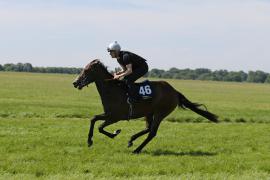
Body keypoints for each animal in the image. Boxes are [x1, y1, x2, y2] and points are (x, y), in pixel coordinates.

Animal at [72, 59, 217, 153]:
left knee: (152, 132)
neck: (113, 90)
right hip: (150, 113)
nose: (75, 82)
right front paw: (91, 140)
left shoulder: (116, 116)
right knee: (148, 128)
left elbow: (100, 126)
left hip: (160, 113)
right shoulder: (109, 114)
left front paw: (113, 133)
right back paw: (131, 140)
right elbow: (94, 119)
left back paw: (137, 149)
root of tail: (174, 91)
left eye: (87, 70)